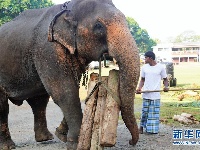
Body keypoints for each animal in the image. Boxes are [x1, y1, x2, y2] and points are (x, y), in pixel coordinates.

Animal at [0, 0, 140, 149]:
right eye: (98, 26)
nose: (131, 142)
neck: (69, 7)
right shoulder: (47, 49)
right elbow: (65, 92)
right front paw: (76, 144)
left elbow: (72, 86)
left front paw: (61, 135)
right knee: (3, 107)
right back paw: (8, 145)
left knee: (39, 101)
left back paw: (46, 138)